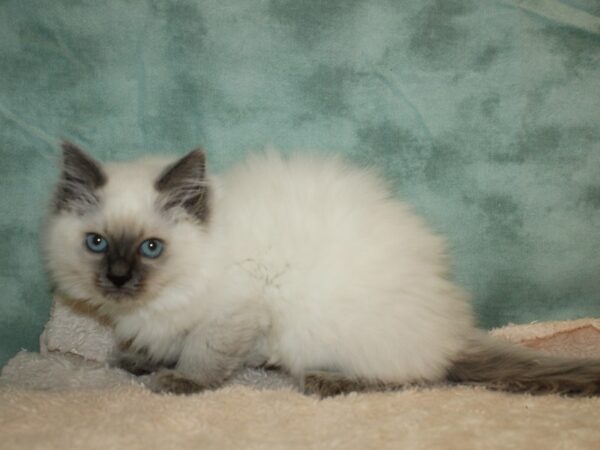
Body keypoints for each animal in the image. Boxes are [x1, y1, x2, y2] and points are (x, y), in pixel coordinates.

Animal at [44, 142, 600, 396]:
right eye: (97, 243)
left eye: (151, 248)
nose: (118, 278)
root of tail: (452, 333)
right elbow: (150, 344)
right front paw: (137, 359)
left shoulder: (234, 312)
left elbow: (204, 356)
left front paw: (179, 380)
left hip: (333, 330)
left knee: (412, 378)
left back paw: (326, 381)